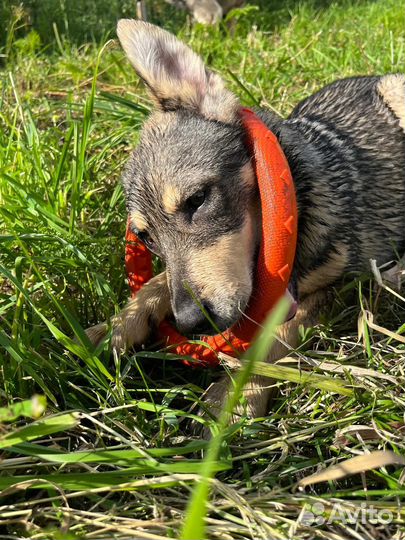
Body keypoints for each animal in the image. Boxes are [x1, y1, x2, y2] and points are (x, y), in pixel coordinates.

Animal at [87, 20, 404, 418]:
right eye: (145, 238)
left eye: (197, 199)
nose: (190, 323)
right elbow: (159, 281)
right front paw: (118, 324)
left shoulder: (334, 289)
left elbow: (268, 343)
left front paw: (233, 397)